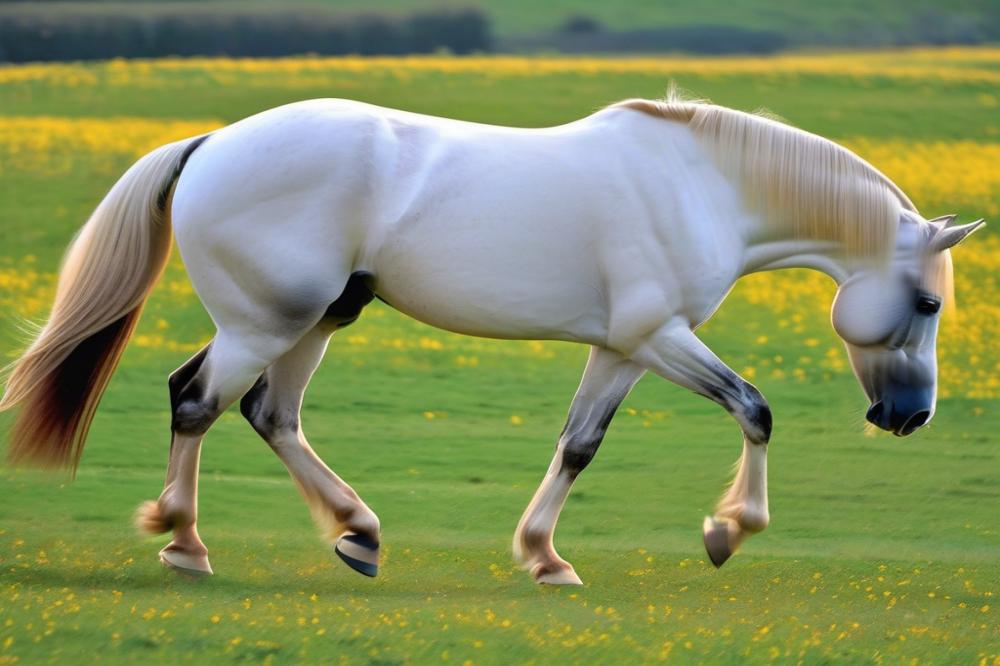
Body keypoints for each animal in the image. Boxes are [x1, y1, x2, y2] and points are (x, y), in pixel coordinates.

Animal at [0, 93, 984, 580]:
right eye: (930, 306)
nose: (911, 416)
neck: (704, 183)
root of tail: (211, 144)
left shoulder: (622, 349)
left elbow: (580, 444)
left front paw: (545, 556)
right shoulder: (658, 336)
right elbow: (756, 409)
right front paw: (729, 529)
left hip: (317, 318)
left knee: (268, 415)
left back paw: (358, 533)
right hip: (263, 320)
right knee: (197, 401)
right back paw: (185, 543)